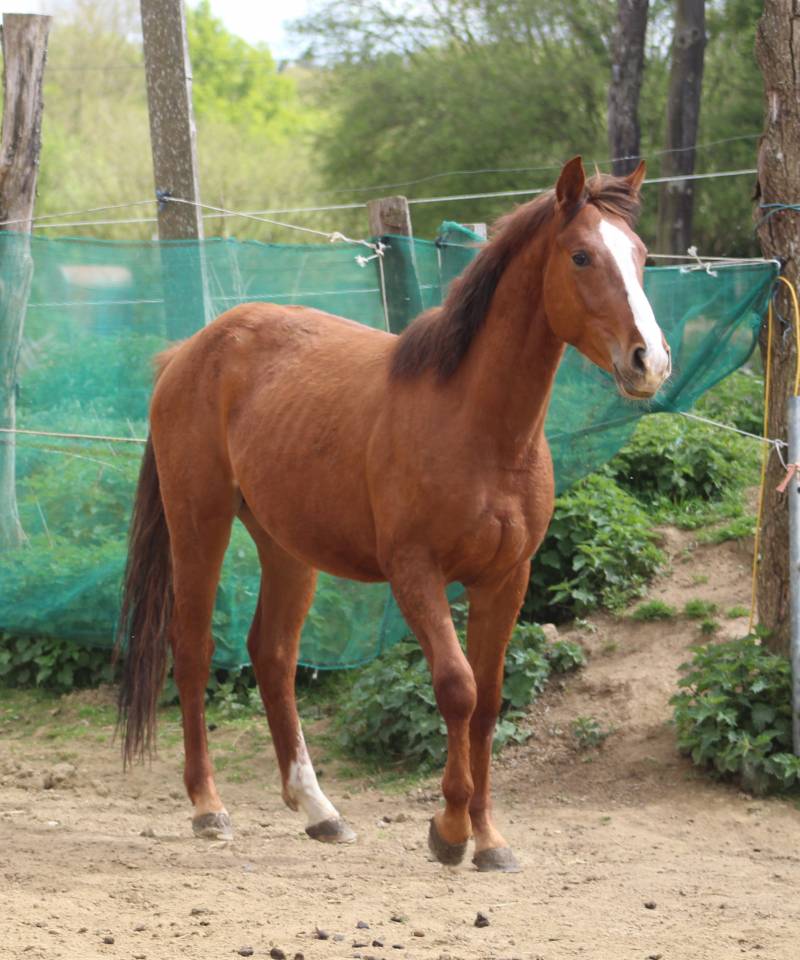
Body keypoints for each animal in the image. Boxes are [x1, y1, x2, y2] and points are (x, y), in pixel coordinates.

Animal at [116, 156, 670, 873]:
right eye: (581, 256)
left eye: (641, 255)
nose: (649, 361)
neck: (477, 427)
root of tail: (188, 352)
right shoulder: (416, 573)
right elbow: (457, 687)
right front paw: (451, 830)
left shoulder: (506, 580)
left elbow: (489, 701)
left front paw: (489, 839)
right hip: (199, 523)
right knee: (192, 648)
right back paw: (209, 807)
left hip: (286, 547)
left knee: (272, 654)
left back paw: (319, 811)